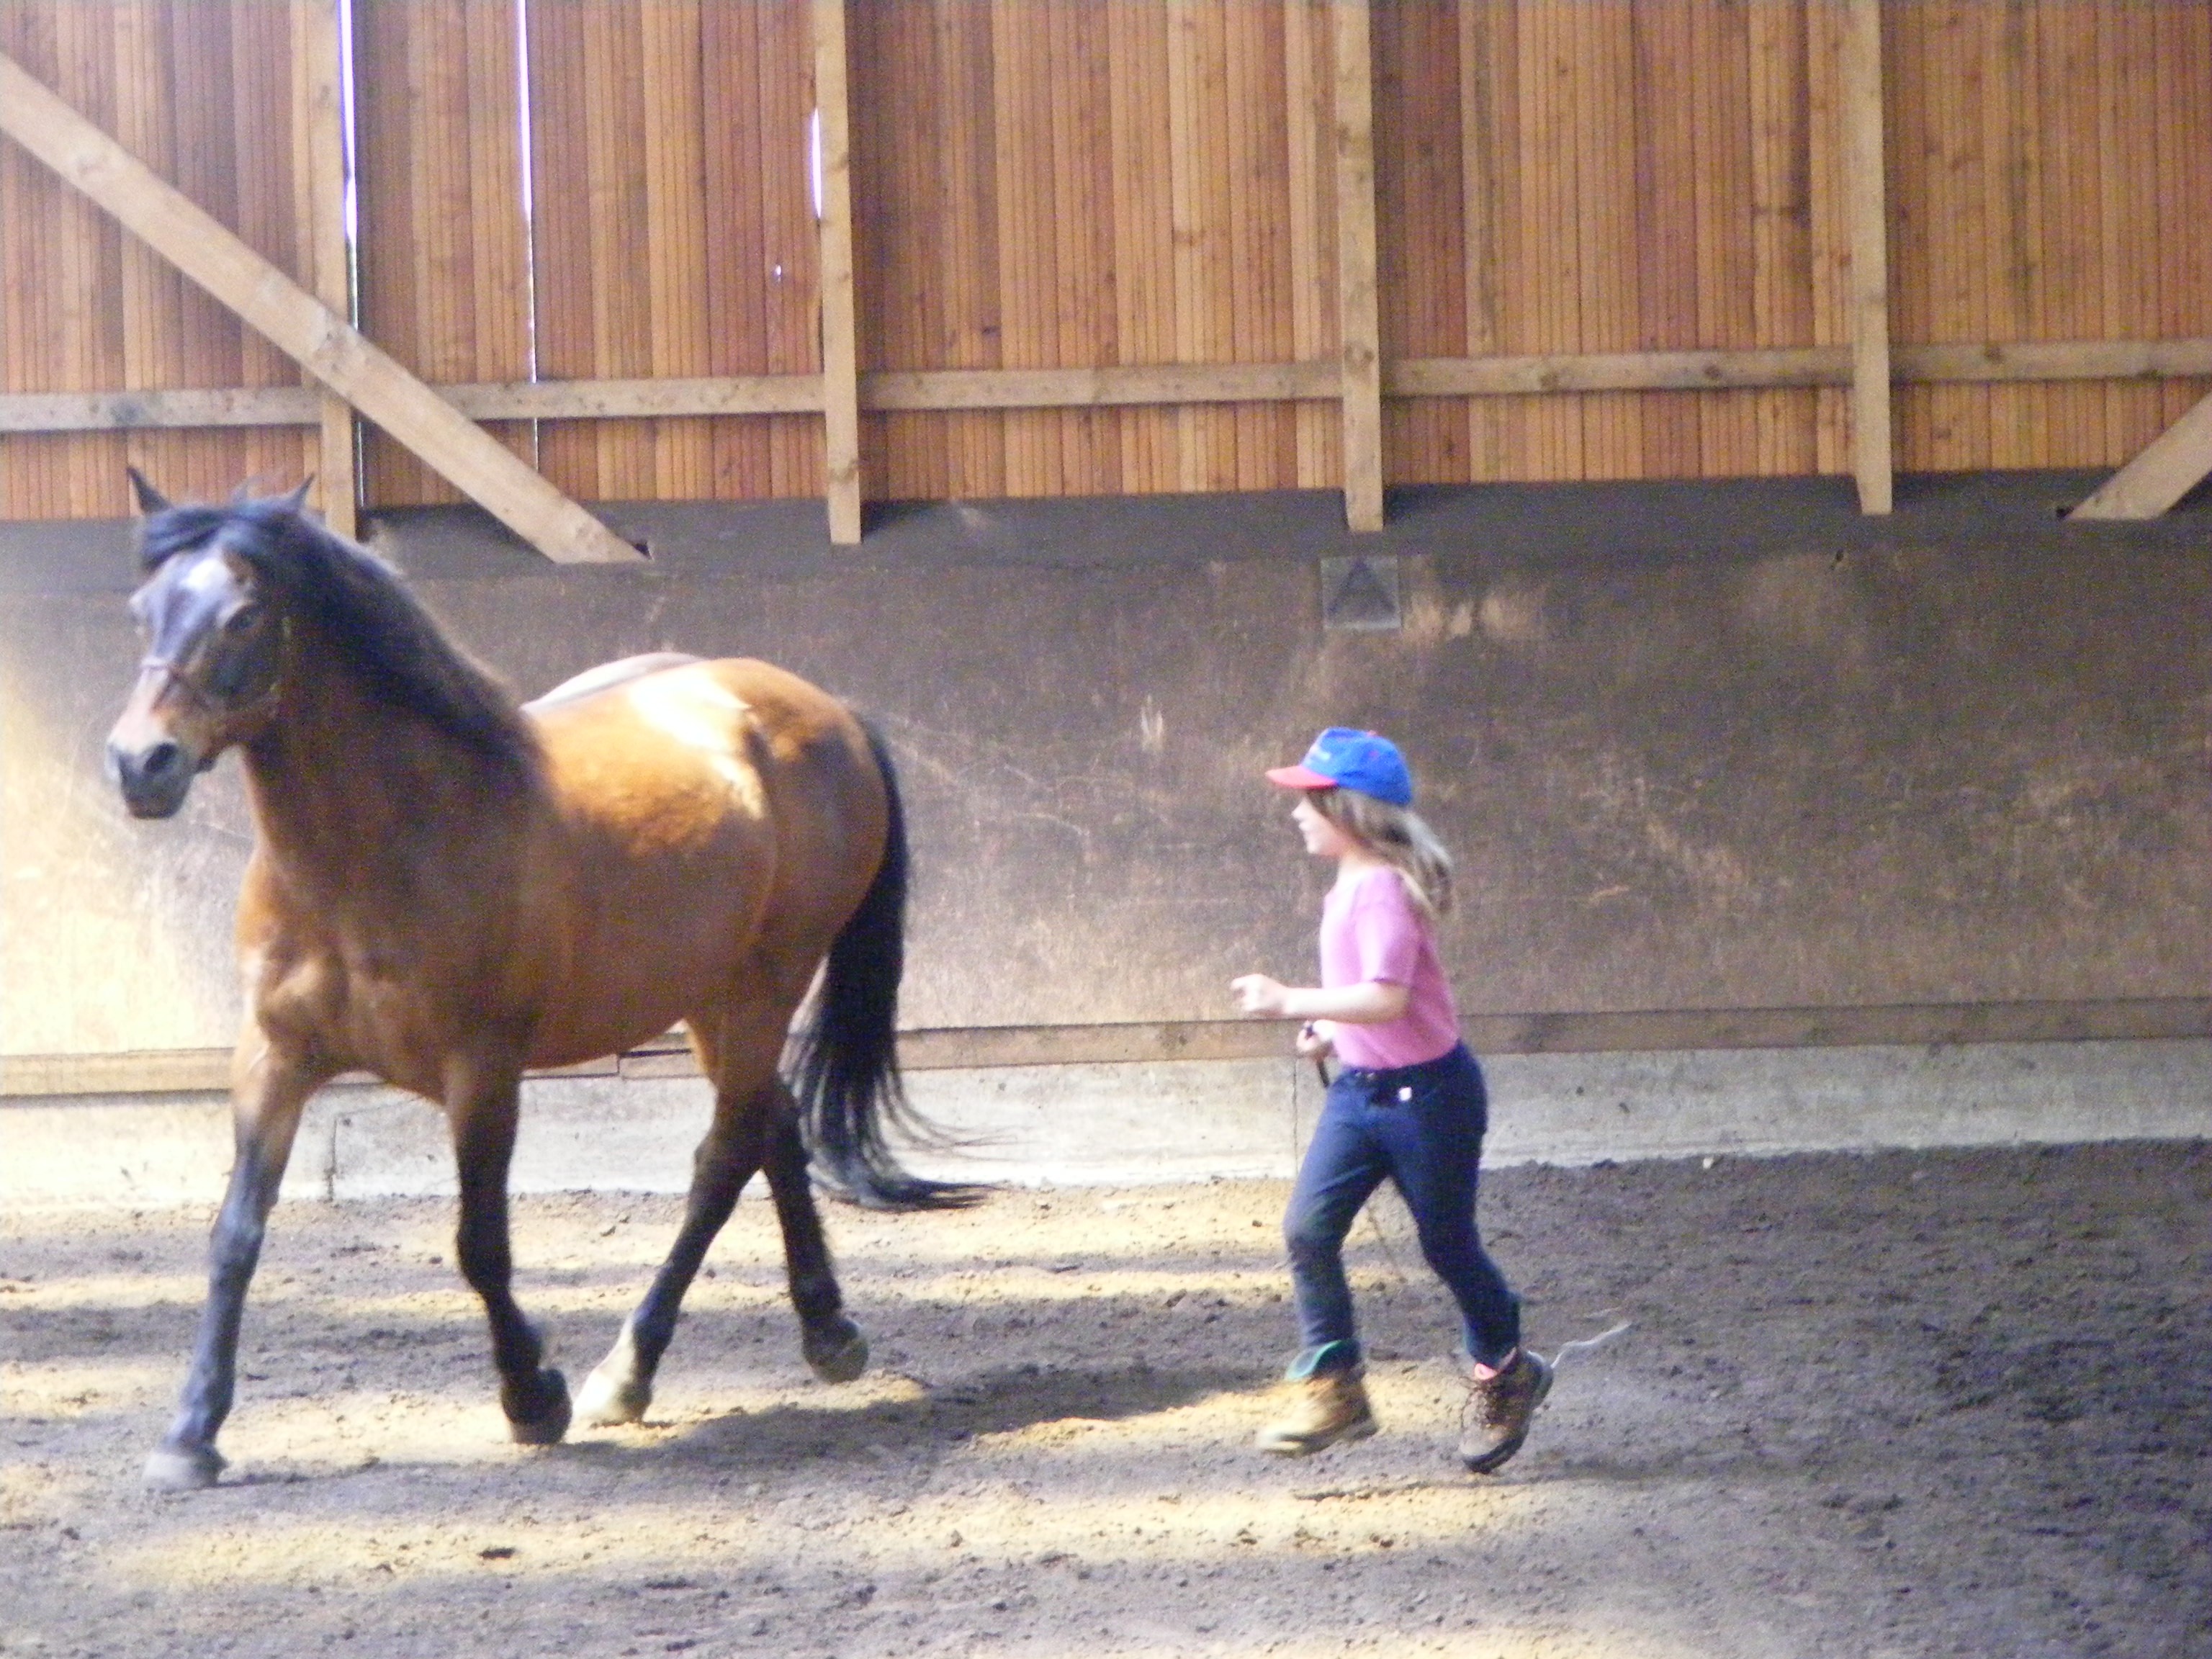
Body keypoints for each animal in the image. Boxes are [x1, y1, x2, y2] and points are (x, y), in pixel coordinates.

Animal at [105, 477, 968, 1495]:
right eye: (141, 610)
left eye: (243, 616)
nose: (140, 764)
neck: (381, 849)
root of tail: (826, 709)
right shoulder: (274, 1058)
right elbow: (236, 1234)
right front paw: (190, 1434)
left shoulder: (481, 1071)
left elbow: (480, 1244)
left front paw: (533, 1396)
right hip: (710, 998)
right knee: (774, 1126)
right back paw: (826, 1330)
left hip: (767, 984)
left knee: (723, 1160)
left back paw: (626, 1373)